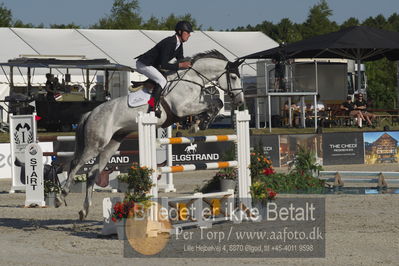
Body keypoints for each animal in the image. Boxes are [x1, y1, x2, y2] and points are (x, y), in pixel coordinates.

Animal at [57, 50, 245, 220]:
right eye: (233, 77)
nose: (240, 101)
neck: (192, 79)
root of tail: (91, 113)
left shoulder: (190, 108)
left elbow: (214, 104)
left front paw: (199, 124)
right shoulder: (182, 108)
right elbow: (214, 103)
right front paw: (200, 124)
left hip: (111, 146)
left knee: (92, 173)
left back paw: (84, 210)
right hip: (95, 145)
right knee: (75, 163)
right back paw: (61, 195)